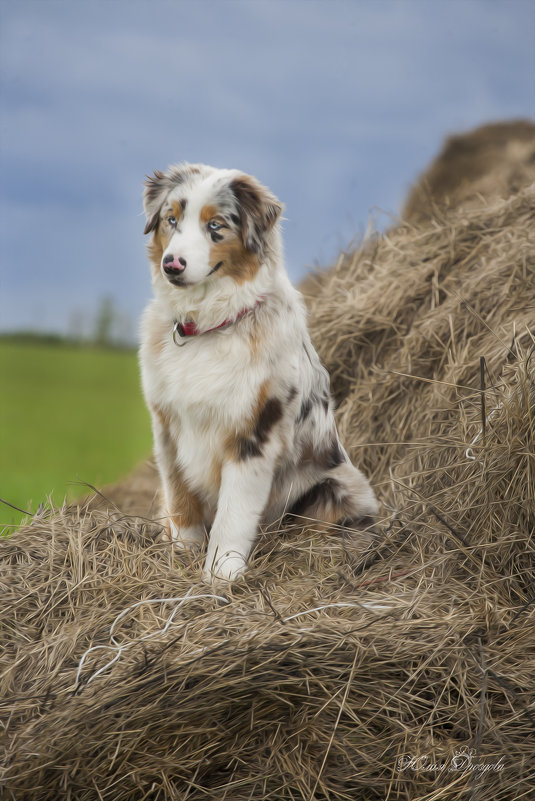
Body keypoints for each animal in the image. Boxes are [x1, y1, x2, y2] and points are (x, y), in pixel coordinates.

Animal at [140, 162, 378, 580]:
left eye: (215, 226)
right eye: (171, 220)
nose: (172, 264)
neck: (208, 326)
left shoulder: (254, 434)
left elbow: (233, 515)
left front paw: (220, 576)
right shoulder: (166, 426)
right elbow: (180, 500)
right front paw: (183, 557)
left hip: (335, 486)